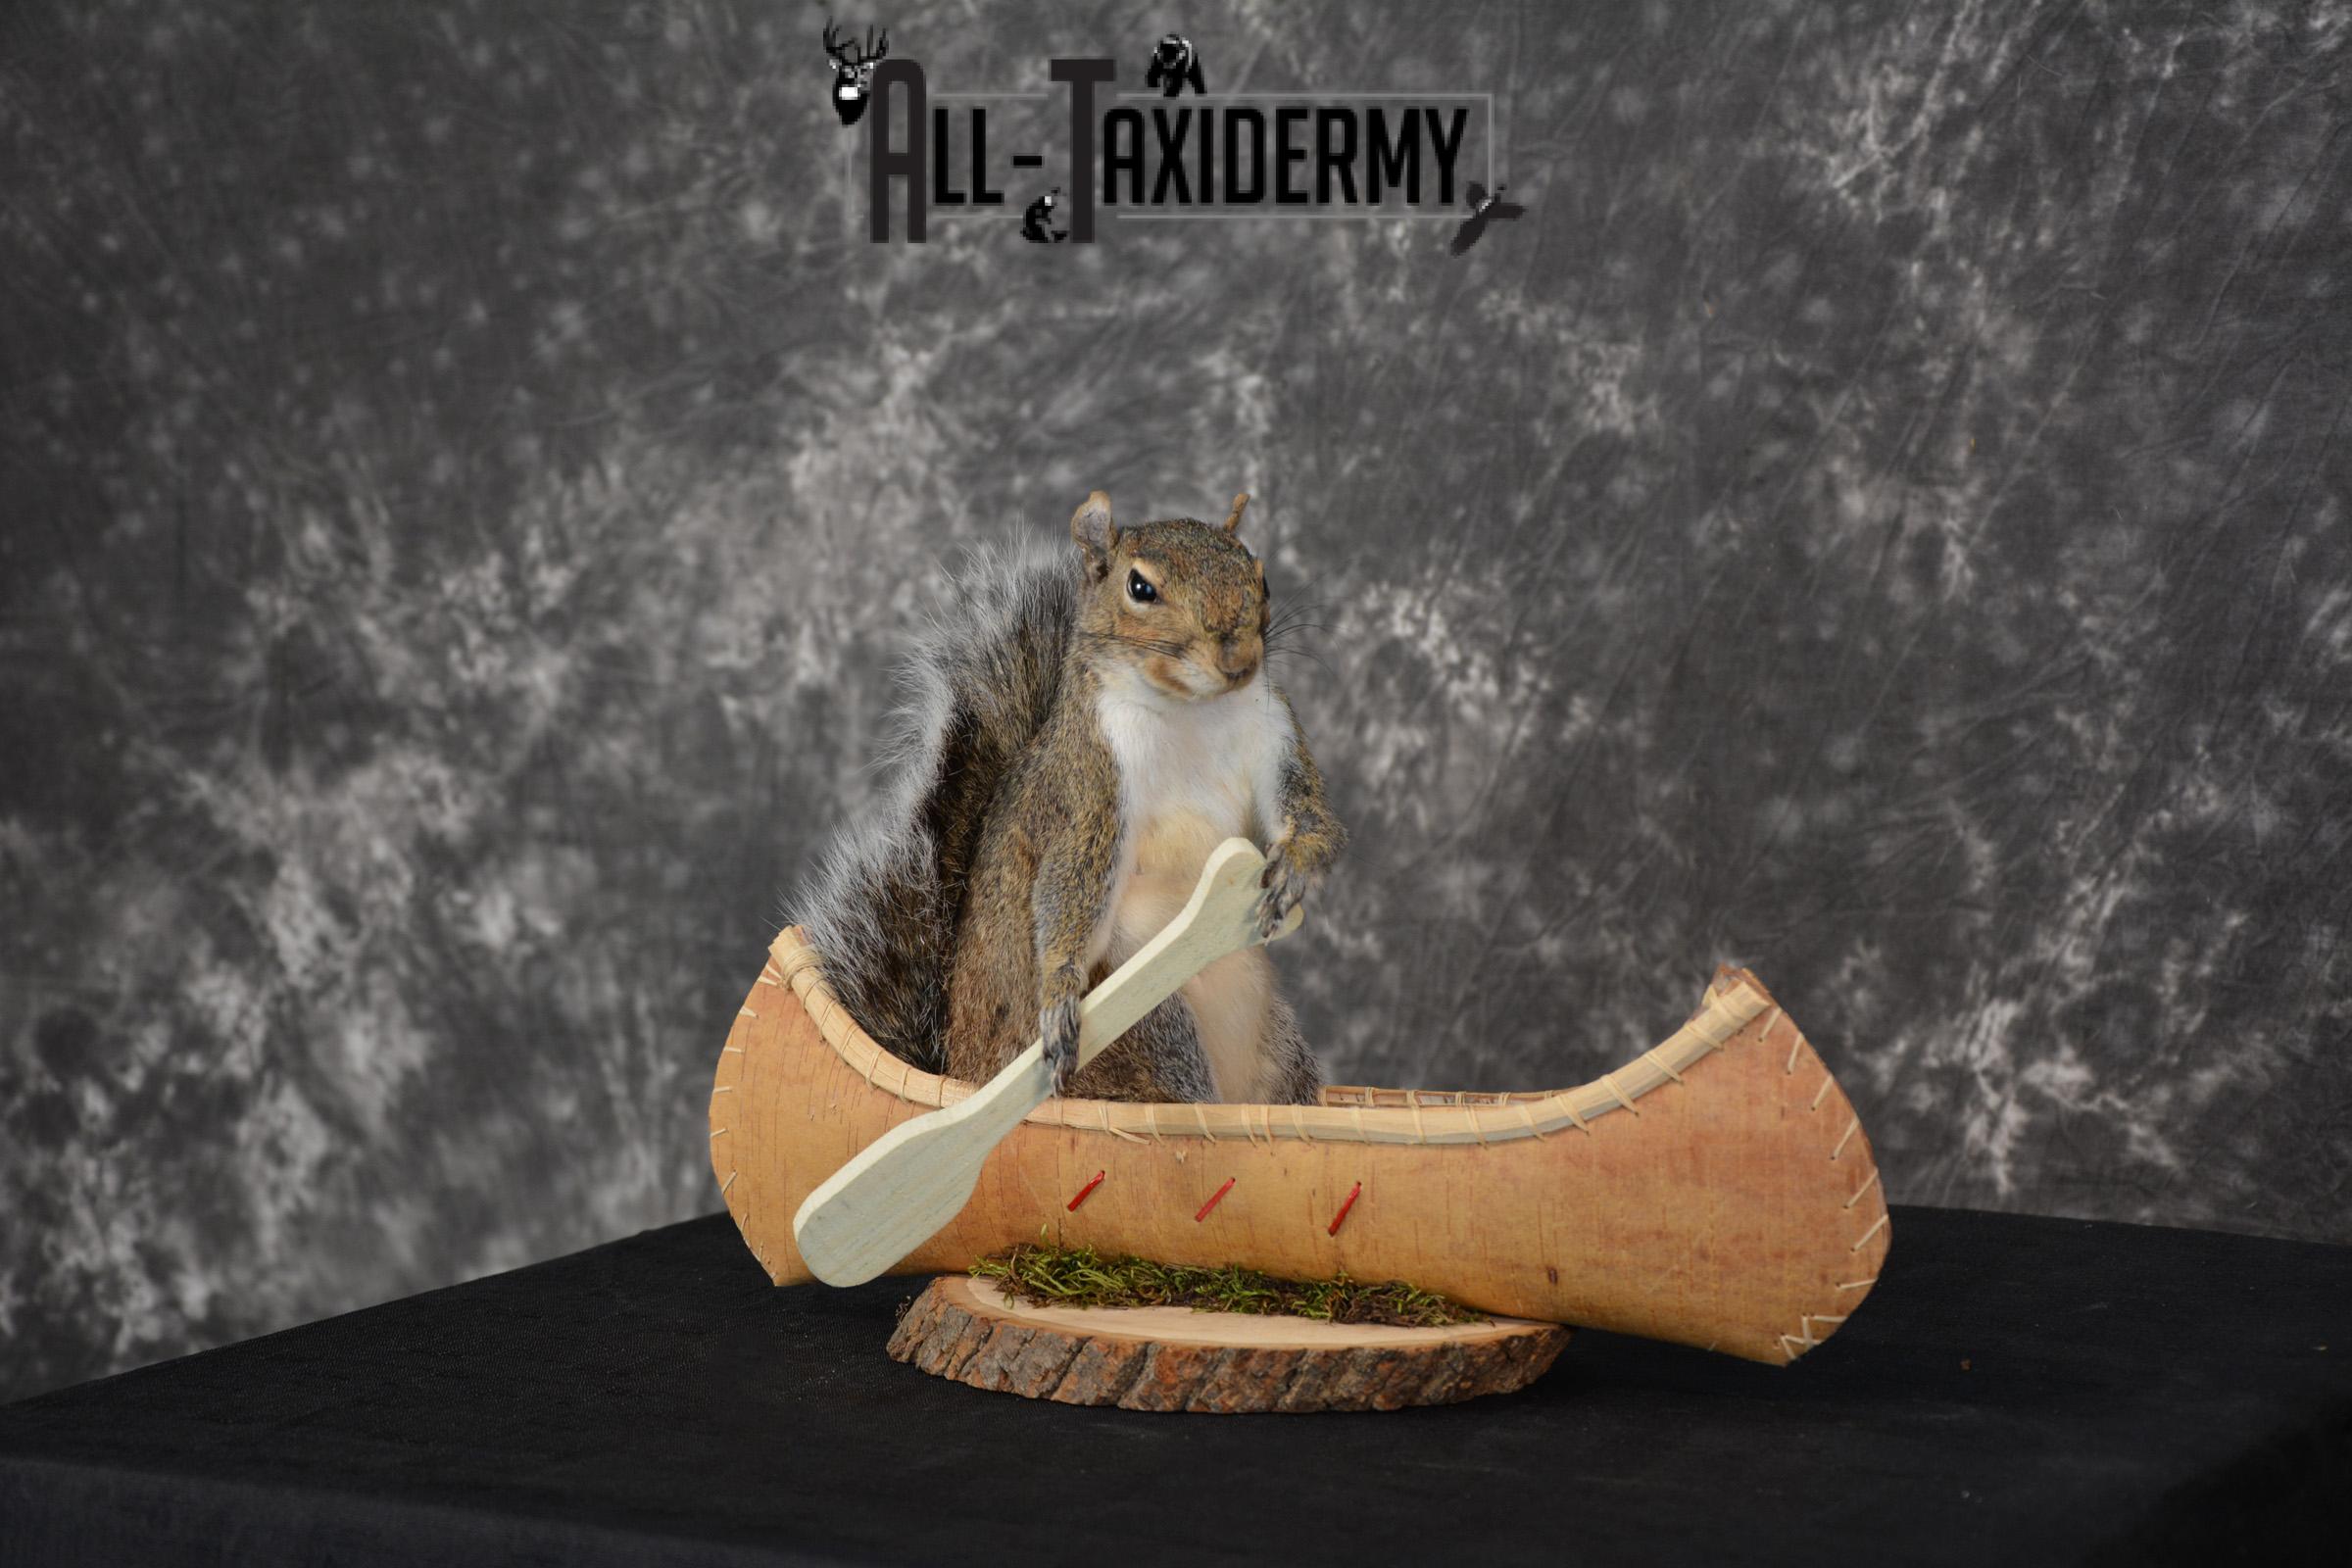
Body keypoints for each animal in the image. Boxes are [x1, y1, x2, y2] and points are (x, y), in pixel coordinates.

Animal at [786, 490, 1343, 1106]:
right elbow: (1068, 887)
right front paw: (1059, 992)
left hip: (1279, 1048)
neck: (1193, 713)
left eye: (1261, 577)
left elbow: (1309, 811)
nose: (1238, 660)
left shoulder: (1275, 737)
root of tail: (966, 1074)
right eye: (1140, 587)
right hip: (1147, 1024)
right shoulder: (1090, 790)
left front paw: (1295, 866)